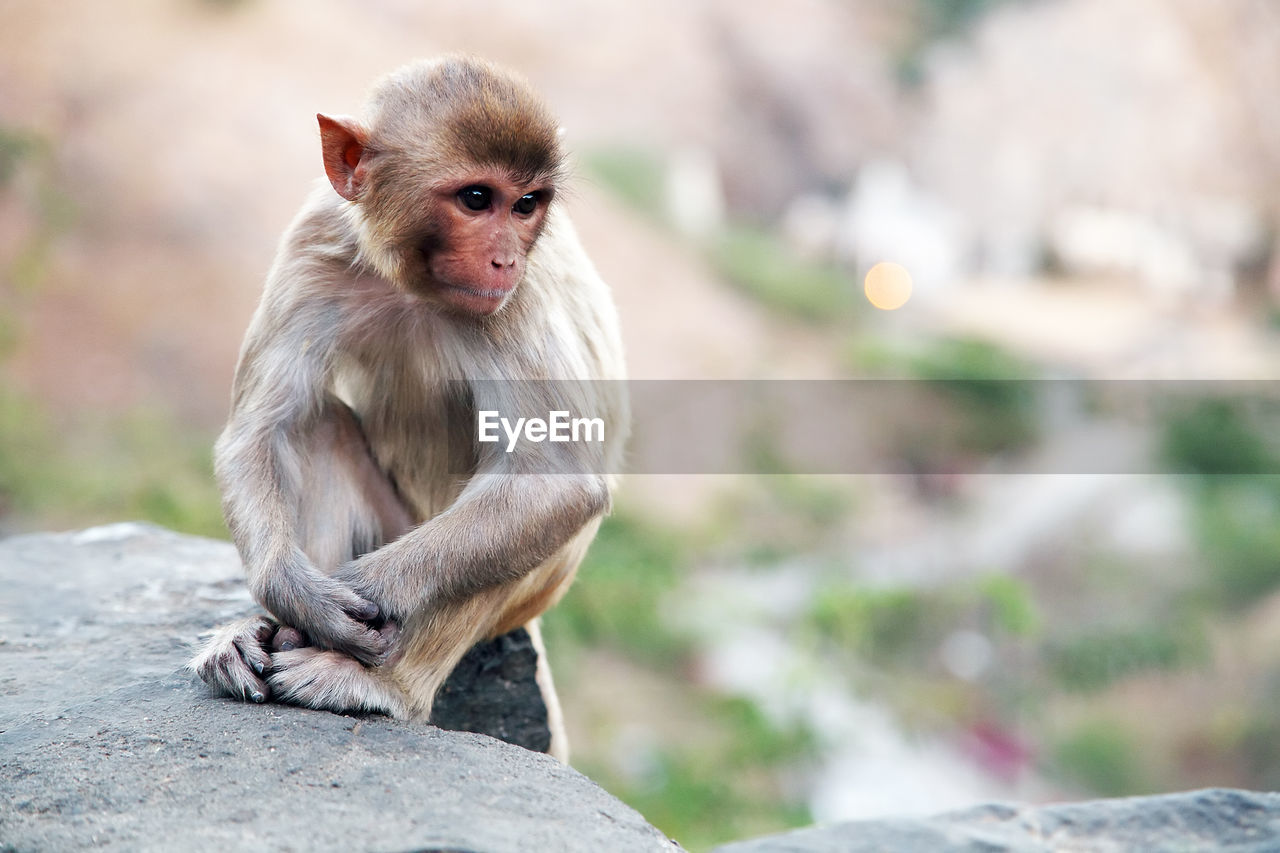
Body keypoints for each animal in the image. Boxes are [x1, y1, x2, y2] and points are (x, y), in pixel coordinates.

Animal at [188, 56, 624, 758]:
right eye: (477, 199)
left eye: (526, 204)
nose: (504, 257)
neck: (415, 284)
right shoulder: (317, 238)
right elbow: (260, 430)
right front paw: (298, 596)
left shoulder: (518, 299)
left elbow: (552, 479)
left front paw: (360, 593)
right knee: (314, 426)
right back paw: (258, 636)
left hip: (520, 594)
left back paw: (381, 686)